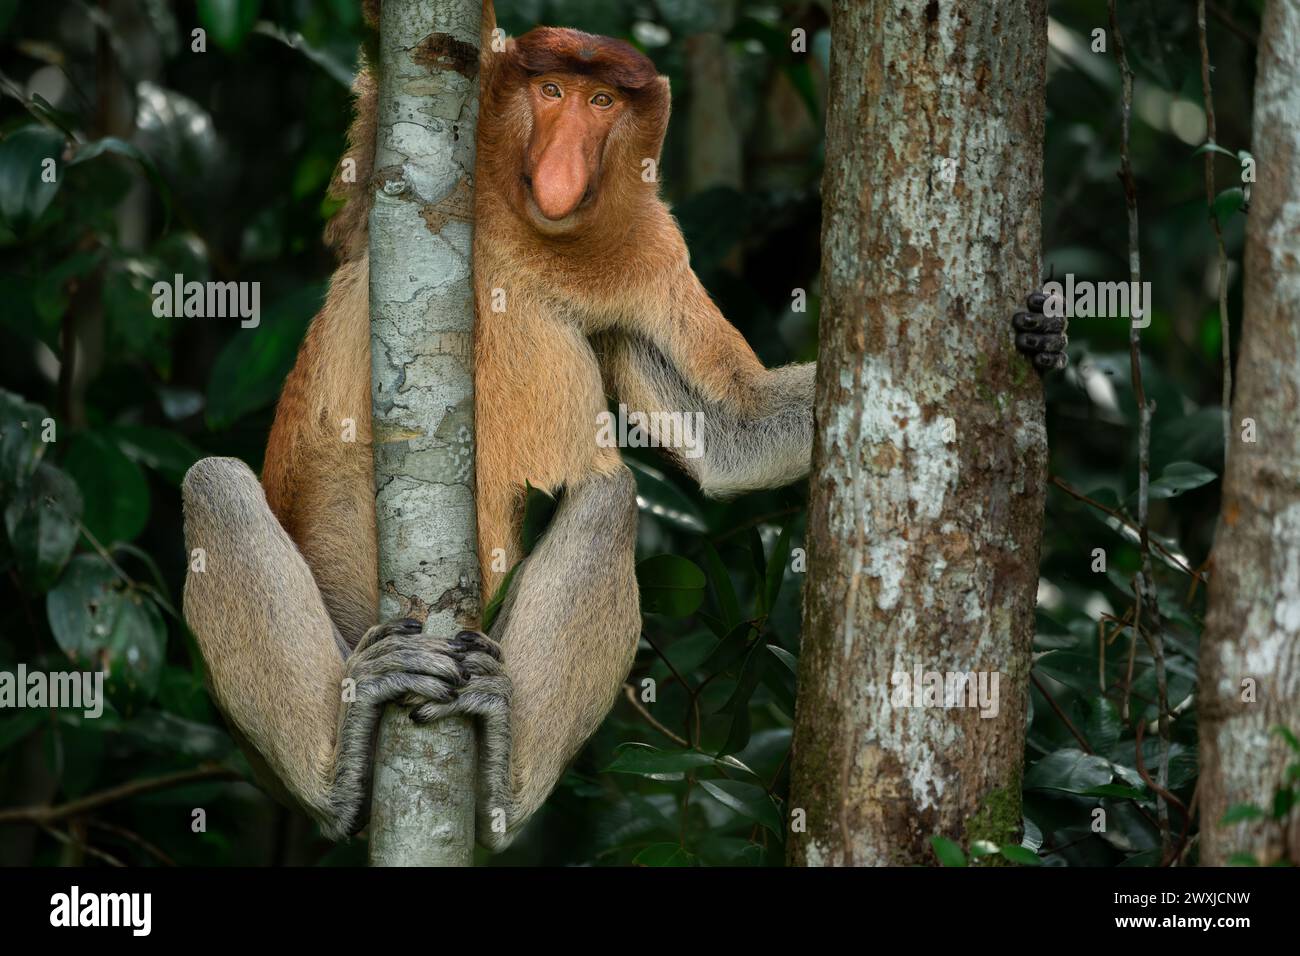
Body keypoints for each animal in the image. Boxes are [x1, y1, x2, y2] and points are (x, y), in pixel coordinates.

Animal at [178, 1, 1066, 853]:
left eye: (602, 102)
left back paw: (500, 786)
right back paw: (342, 767)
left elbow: (729, 428)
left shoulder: (647, 250)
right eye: (551, 91)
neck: (529, 228)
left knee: (609, 499)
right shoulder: (392, 170)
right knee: (213, 484)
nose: (565, 162)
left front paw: (1040, 340)